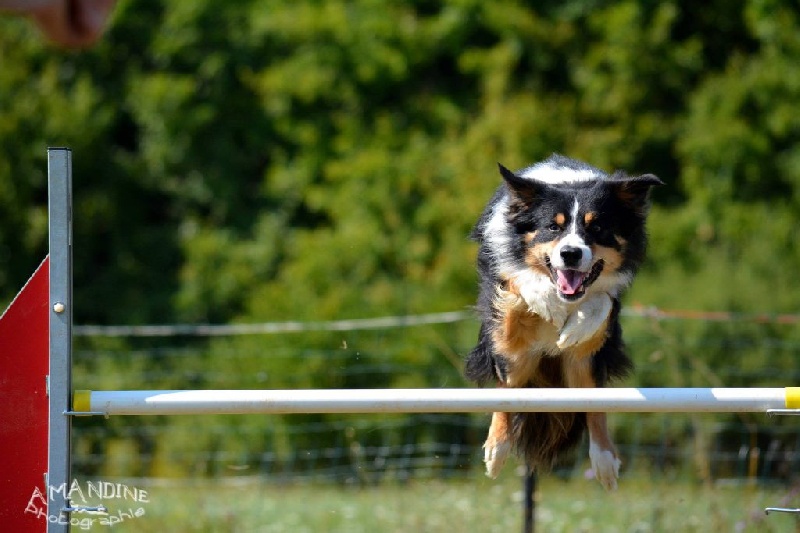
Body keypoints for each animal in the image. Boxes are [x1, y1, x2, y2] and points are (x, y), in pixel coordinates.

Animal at [466, 152, 660, 488]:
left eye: (597, 228)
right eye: (552, 228)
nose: (570, 254)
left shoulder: (610, 303)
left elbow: (601, 302)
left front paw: (577, 326)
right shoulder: (500, 280)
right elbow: (521, 279)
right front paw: (545, 299)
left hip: (584, 364)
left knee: (594, 401)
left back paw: (604, 460)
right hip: (516, 358)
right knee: (507, 389)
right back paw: (497, 449)